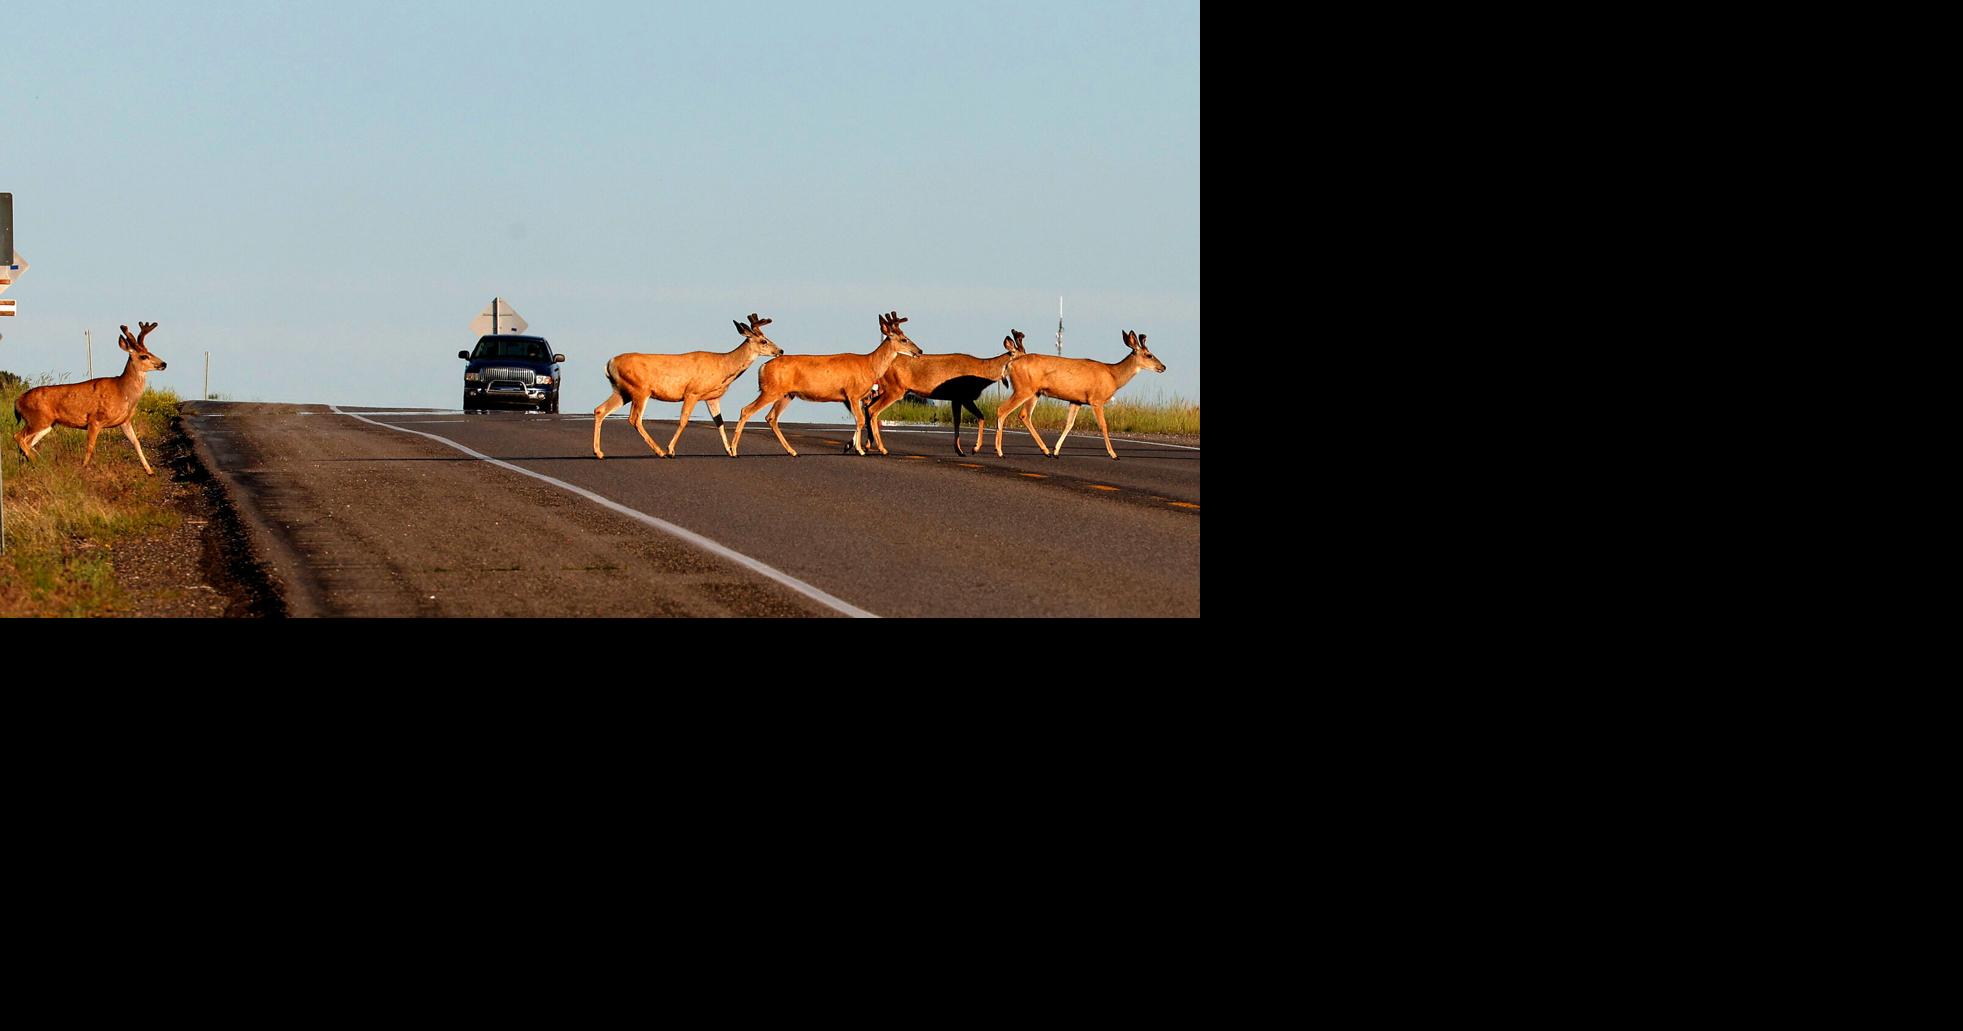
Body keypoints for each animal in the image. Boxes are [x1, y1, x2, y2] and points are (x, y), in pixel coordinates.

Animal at [13, 322, 169, 476]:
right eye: (144, 356)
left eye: (151, 352)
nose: (164, 364)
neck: (122, 392)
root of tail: (18, 401)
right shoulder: (95, 419)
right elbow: (90, 446)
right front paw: (83, 467)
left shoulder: (125, 421)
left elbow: (136, 443)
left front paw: (150, 471)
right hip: (38, 419)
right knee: (18, 436)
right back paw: (36, 462)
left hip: (47, 424)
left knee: (27, 442)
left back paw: (33, 464)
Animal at [592, 313, 784, 459]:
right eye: (763, 341)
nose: (780, 350)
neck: (724, 367)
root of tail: (610, 362)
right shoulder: (692, 392)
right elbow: (683, 420)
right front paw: (671, 450)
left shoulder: (712, 397)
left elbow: (719, 423)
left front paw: (730, 451)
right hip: (640, 389)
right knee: (634, 419)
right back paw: (660, 452)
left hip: (622, 391)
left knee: (600, 410)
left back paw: (599, 452)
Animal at [729, 310, 924, 457]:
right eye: (904, 339)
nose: (920, 351)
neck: (869, 365)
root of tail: (762, 367)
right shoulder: (852, 393)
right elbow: (861, 419)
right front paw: (860, 450)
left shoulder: (853, 397)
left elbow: (859, 420)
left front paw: (854, 447)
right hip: (771, 390)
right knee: (746, 410)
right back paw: (733, 450)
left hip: (786, 394)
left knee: (771, 418)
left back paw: (792, 451)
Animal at [863, 329, 1029, 456]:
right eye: (1025, 355)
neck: (982, 372)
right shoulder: (963, 396)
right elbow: (979, 417)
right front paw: (973, 449)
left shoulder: (956, 398)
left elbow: (960, 421)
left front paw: (960, 450)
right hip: (894, 389)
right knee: (873, 410)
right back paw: (881, 448)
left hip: (884, 390)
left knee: (867, 408)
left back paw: (867, 445)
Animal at [993, 330, 1166, 460]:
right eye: (1149, 355)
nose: (1163, 367)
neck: (1113, 376)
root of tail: (1010, 364)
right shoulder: (1096, 400)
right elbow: (1103, 426)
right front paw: (1114, 454)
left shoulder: (1076, 401)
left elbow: (1069, 424)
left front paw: (1056, 451)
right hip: (1023, 389)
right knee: (1002, 410)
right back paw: (1000, 452)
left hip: (1034, 392)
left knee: (1024, 415)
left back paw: (1046, 451)